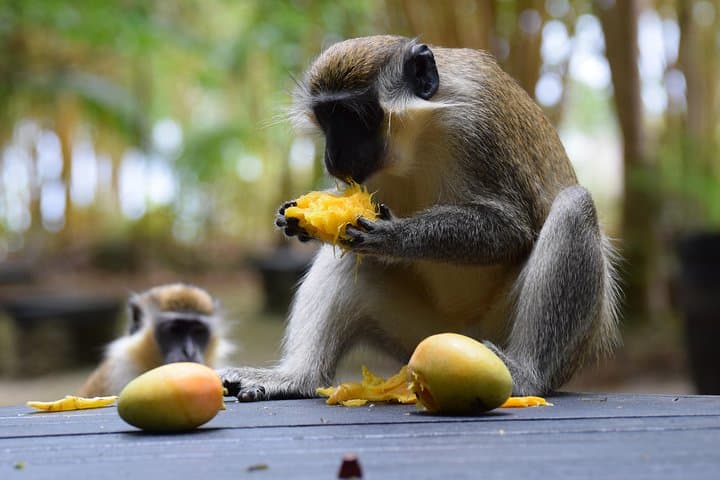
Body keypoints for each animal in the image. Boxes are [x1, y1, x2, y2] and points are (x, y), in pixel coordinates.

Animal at [220, 35, 620, 400]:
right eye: (325, 117)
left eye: (350, 116)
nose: (331, 157)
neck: (416, 136)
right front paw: (299, 219)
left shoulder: (477, 123)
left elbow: (510, 228)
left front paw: (394, 237)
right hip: (416, 335)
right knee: (348, 262)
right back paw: (298, 378)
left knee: (574, 208)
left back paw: (526, 375)